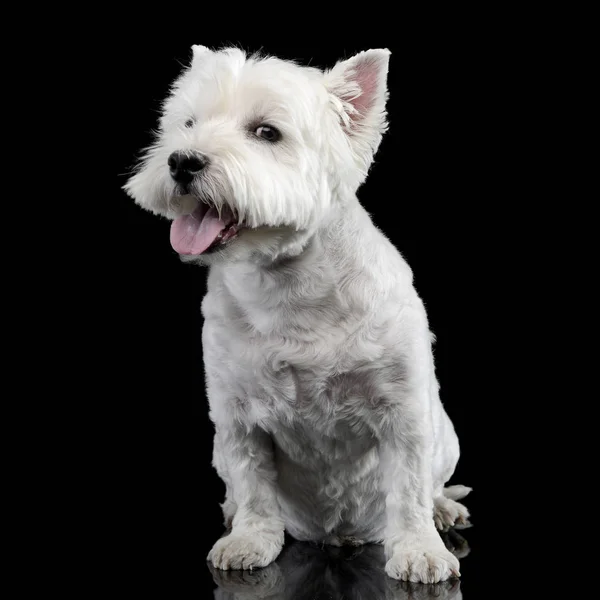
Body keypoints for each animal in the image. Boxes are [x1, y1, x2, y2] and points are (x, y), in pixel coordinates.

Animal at [125, 44, 468, 584]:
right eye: (187, 123)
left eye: (267, 132)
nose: (181, 161)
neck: (289, 289)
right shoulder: (236, 415)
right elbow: (253, 483)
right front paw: (247, 540)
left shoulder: (403, 411)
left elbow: (410, 487)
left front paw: (420, 551)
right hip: (216, 449)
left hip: (447, 433)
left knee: (434, 482)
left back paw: (444, 510)